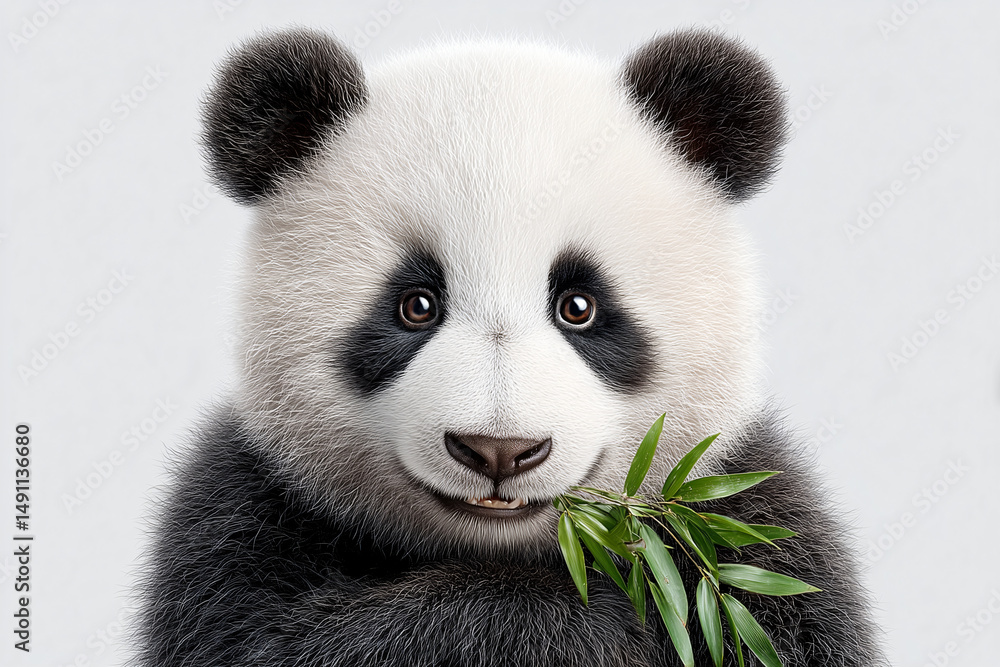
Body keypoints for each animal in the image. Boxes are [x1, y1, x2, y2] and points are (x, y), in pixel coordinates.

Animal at [135, 27, 887, 667]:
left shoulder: (750, 530)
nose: (498, 450)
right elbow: (294, 638)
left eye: (579, 306)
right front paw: (571, 624)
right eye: (416, 305)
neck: (505, 551)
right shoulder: (238, 522)